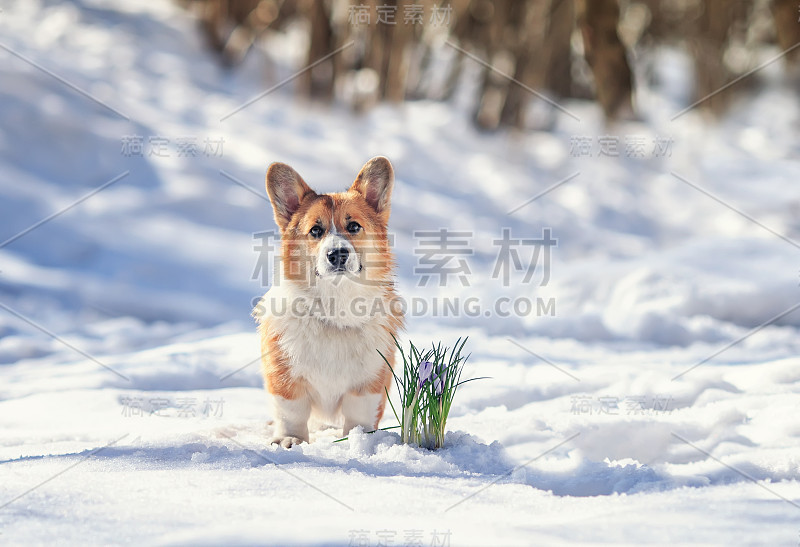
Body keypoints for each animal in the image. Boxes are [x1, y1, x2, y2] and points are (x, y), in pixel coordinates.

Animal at [255, 156, 406, 448]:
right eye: (316, 230)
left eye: (354, 226)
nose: (337, 254)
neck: (336, 307)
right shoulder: (284, 375)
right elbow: (291, 412)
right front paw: (290, 440)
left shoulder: (370, 380)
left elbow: (359, 415)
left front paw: (358, 440)